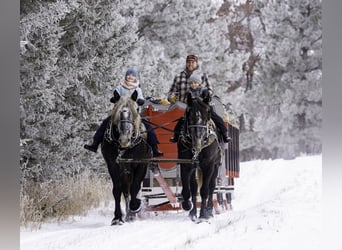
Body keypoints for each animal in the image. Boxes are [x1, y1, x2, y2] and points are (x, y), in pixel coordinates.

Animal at [101, 91, 152, 226]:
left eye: (136, 110)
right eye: (116, 110)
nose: (124, 139)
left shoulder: (141, 165)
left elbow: (135, 187)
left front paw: (135, 206)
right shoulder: (113, 165)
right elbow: (117, 190)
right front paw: (117, 217)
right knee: (125, 191)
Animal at [178, 92, 223, 221]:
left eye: (208, 112)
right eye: (189, 113)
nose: (197, 143)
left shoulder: (208, 165)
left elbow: (204, 190)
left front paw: (203, 214)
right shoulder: (186, 164)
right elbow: (188, 190)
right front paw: (188, 207)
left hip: (216, 166)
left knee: (211, 187)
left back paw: (209, 210)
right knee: (194, 188)